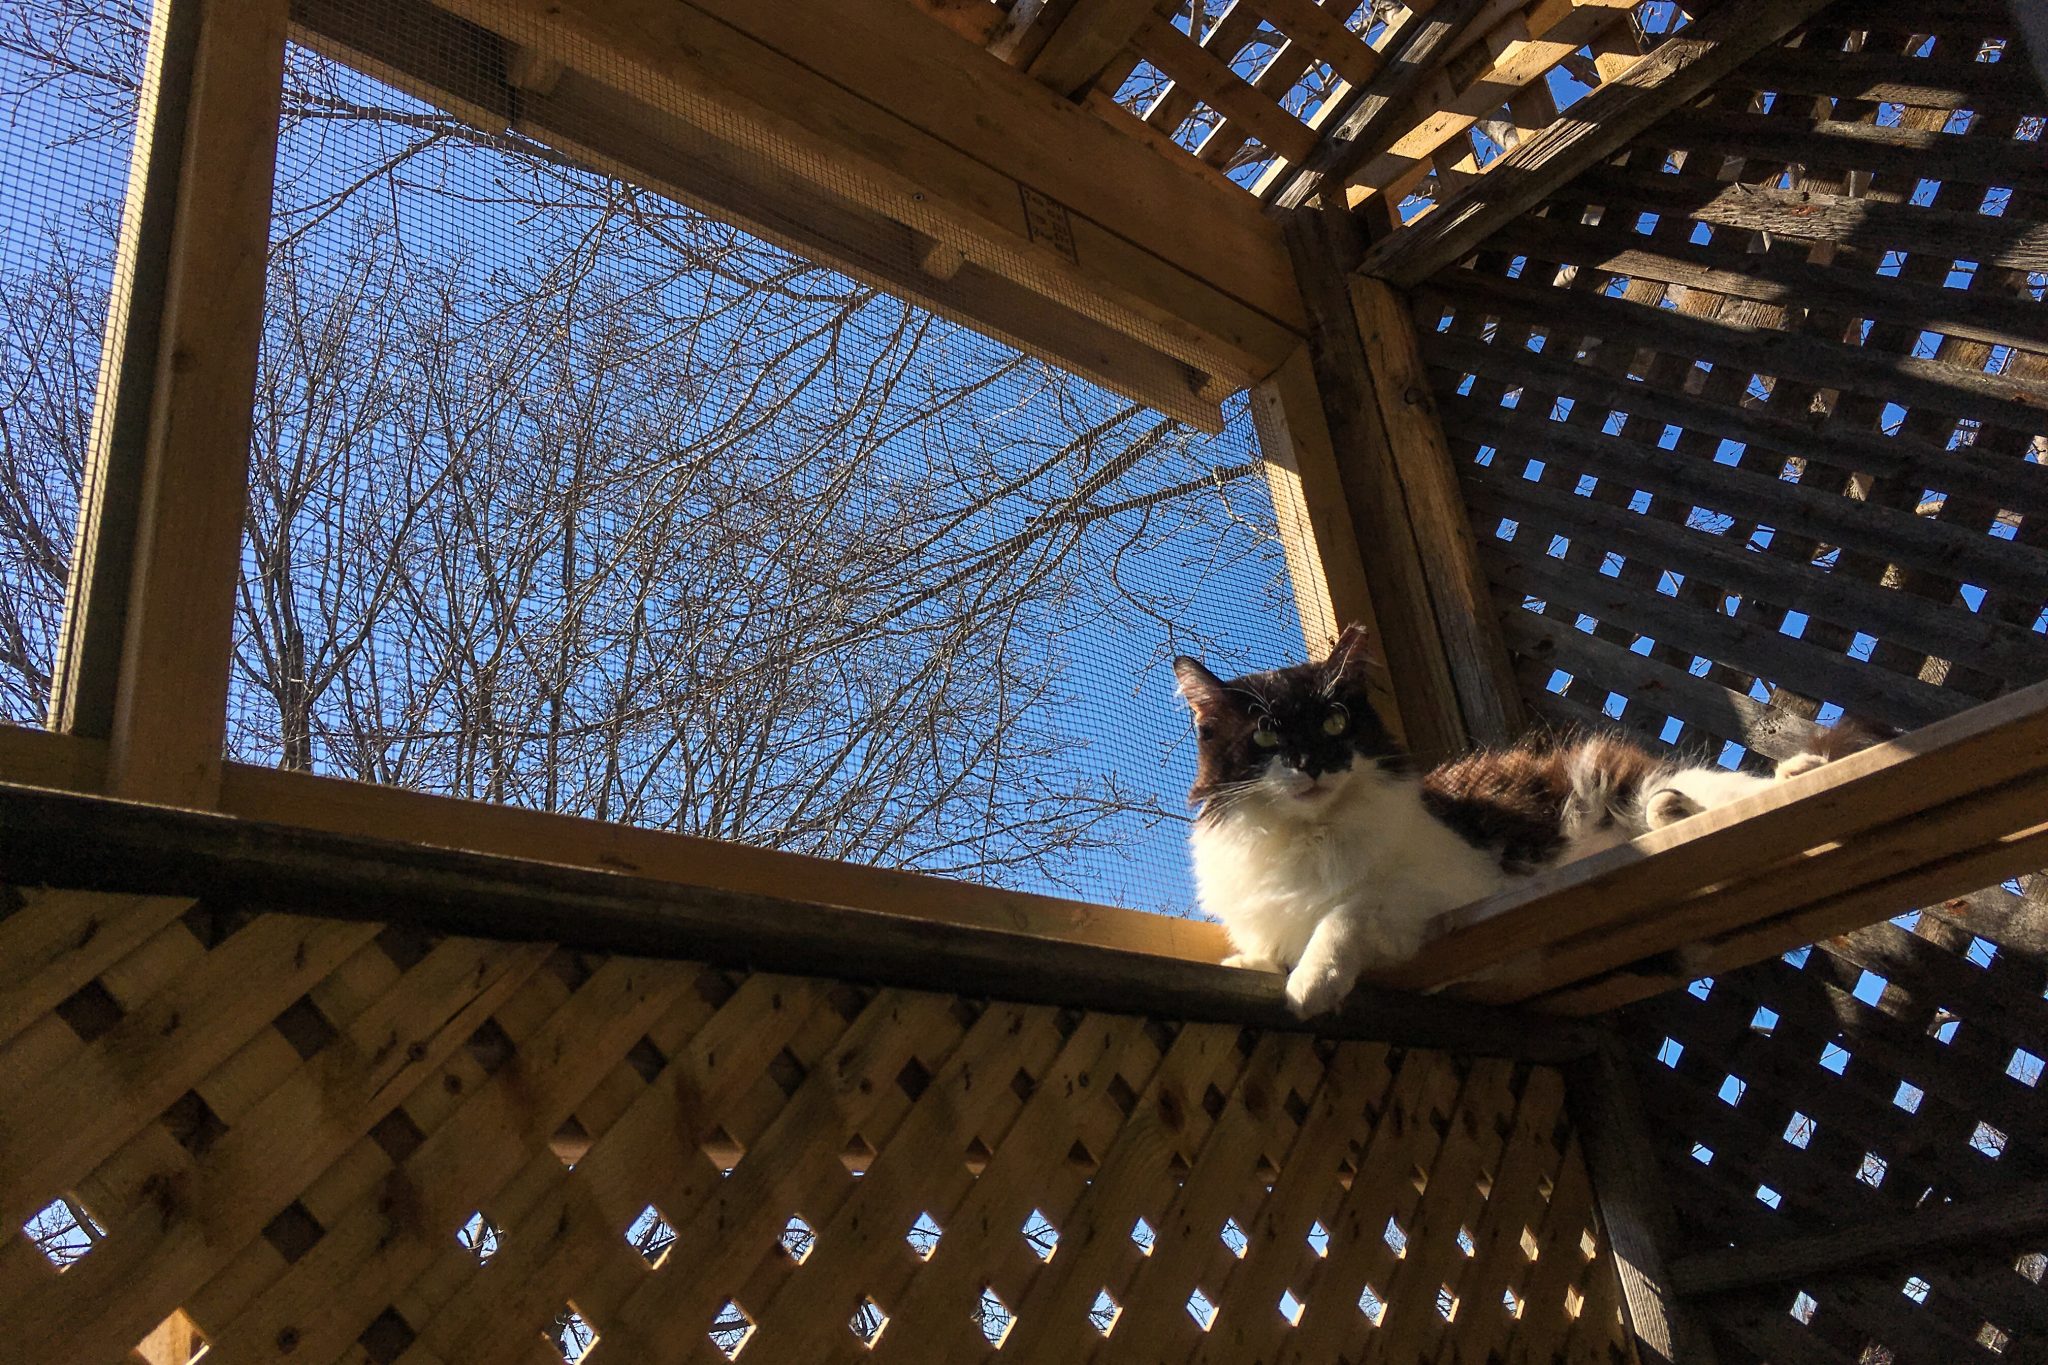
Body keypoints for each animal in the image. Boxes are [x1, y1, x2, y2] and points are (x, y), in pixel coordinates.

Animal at [1171, 626, 1826, 1019]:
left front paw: (1313, 982)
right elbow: (1270, 948)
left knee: (1721, 785)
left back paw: (1798, 771)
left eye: (1335, 723)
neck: (1309, 837)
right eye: (1266, 736)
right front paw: (1255, 965)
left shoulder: (1449, 891)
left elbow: (1348, 910)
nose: (1312, 763)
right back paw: (1672, 813)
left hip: (1617, 776)